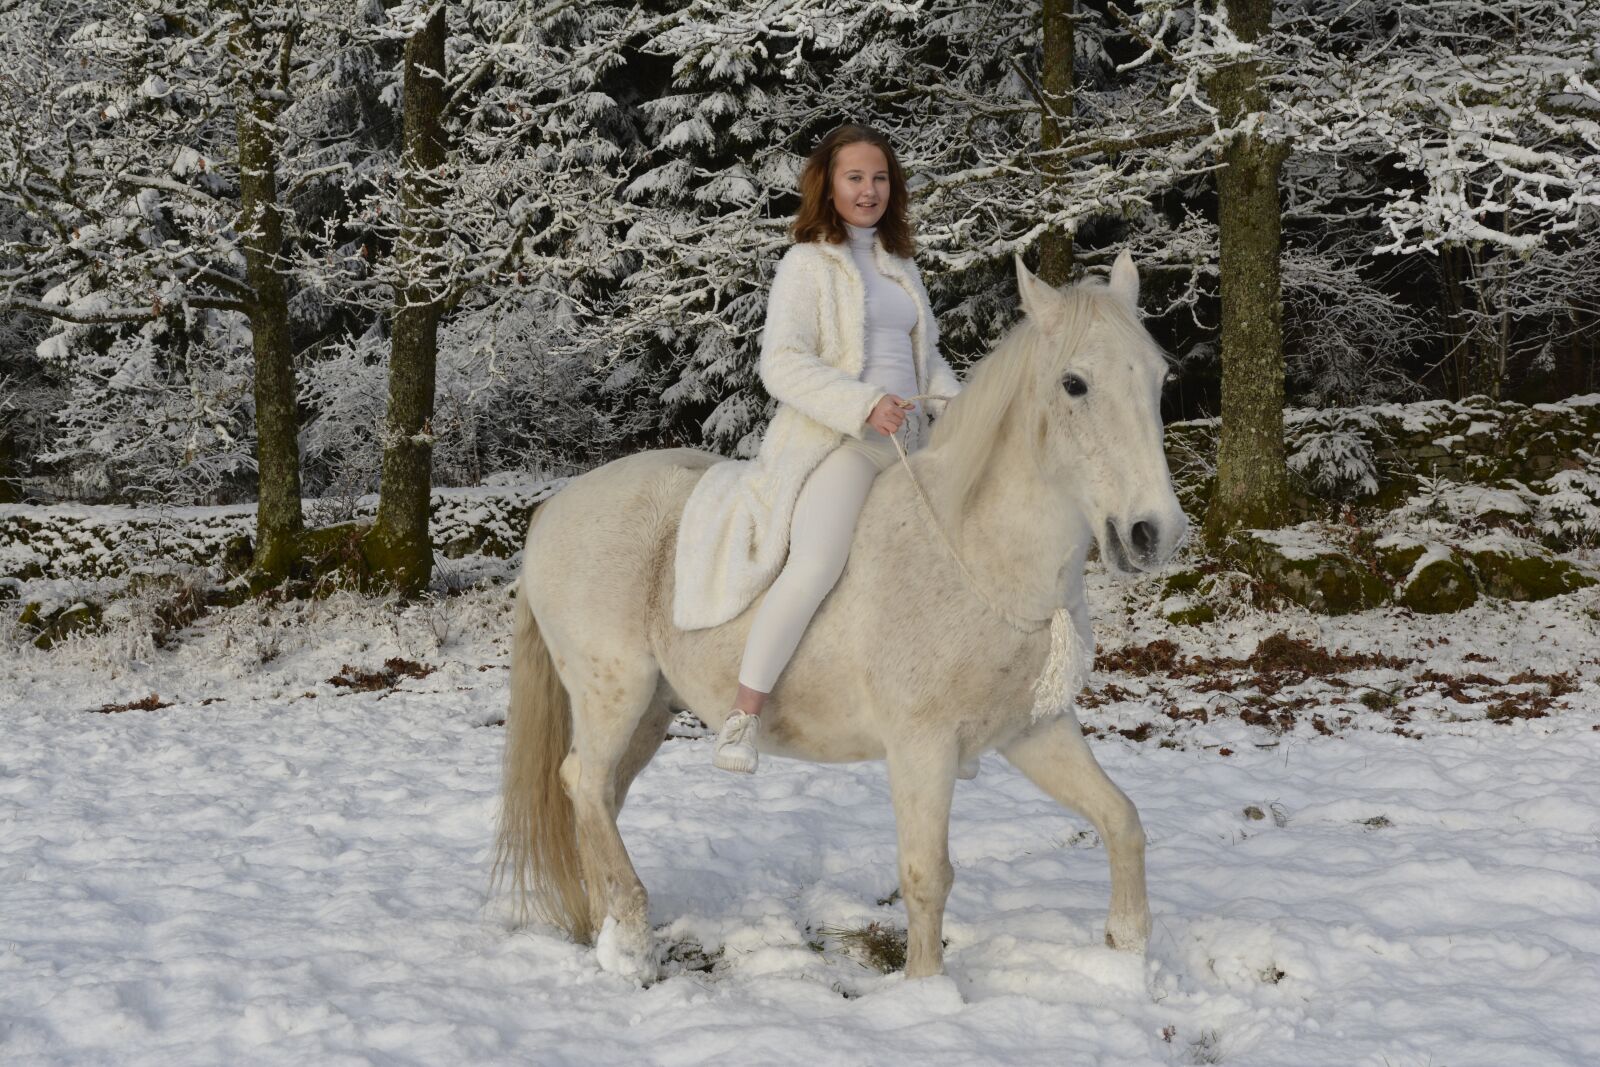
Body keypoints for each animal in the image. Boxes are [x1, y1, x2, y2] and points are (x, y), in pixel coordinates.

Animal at [494, 250, 1188, 982]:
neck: (975, 549)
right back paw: (628, 935)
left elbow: (1122, 819)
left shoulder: (1037, 731)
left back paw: (607, 925)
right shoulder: (921, 748)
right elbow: (926, 874)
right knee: (586, 782)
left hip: (651, 709)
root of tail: (554, 508)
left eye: (1159, 376)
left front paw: (1128, 950)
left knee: (594, 795)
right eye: (1074, 383)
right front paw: (925, 989)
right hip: (614, 693)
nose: (1154, 532)